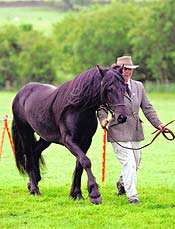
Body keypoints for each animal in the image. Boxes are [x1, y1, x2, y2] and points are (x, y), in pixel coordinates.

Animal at [12, 65, 127, 205]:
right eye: (109, 89)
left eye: (124, 87)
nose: (122, 117)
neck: (78, 108)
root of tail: (21, 92)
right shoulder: (69, 141)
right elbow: (86, 161)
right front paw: (94, 194)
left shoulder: (86, 142)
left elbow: (79, 165)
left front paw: (76, 193)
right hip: (25, 133)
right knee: (28, 157)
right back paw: (35, 189)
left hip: (46, 138)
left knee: (35, 152)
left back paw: (33, 183)